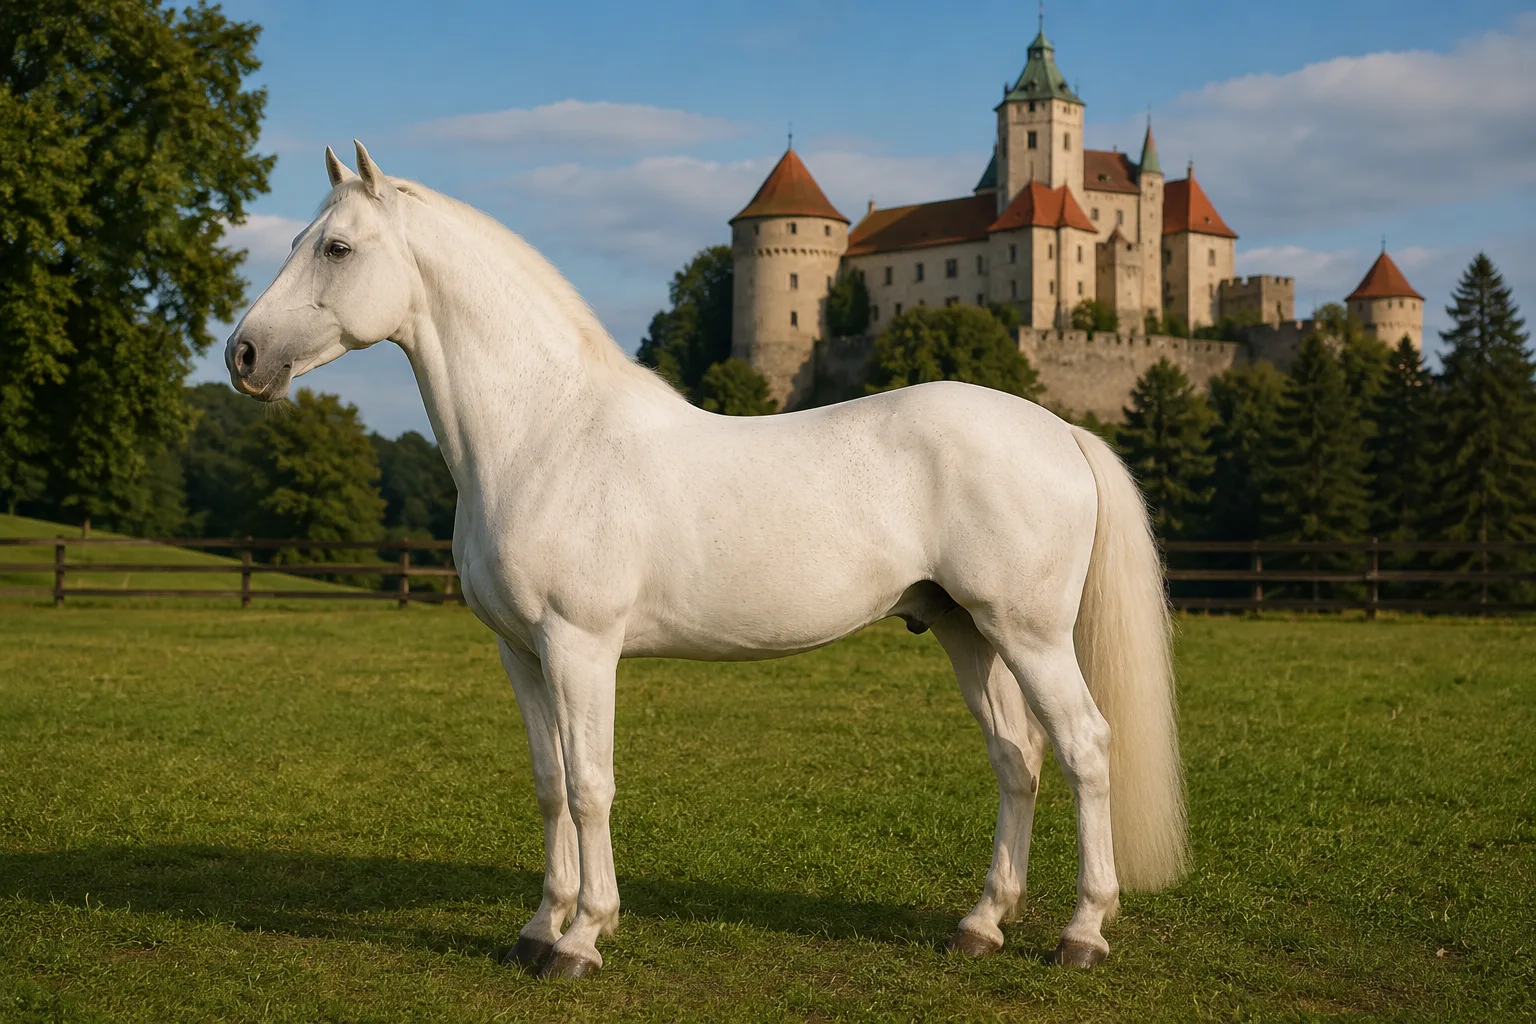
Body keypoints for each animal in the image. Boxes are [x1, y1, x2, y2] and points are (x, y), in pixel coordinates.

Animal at [225, 141, 1188, 979]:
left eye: (337, 247)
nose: (242, 355)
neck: (545, 433)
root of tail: (1059, 429)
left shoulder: (581, 648)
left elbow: (591, 786)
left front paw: (583, 940)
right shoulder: (521, 653)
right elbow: (548, 783)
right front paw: (537, 930)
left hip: (1029, 635)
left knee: (1085, 746)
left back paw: (1082, 934)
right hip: (966, 632)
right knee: (1017, 757)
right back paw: (982, 925)